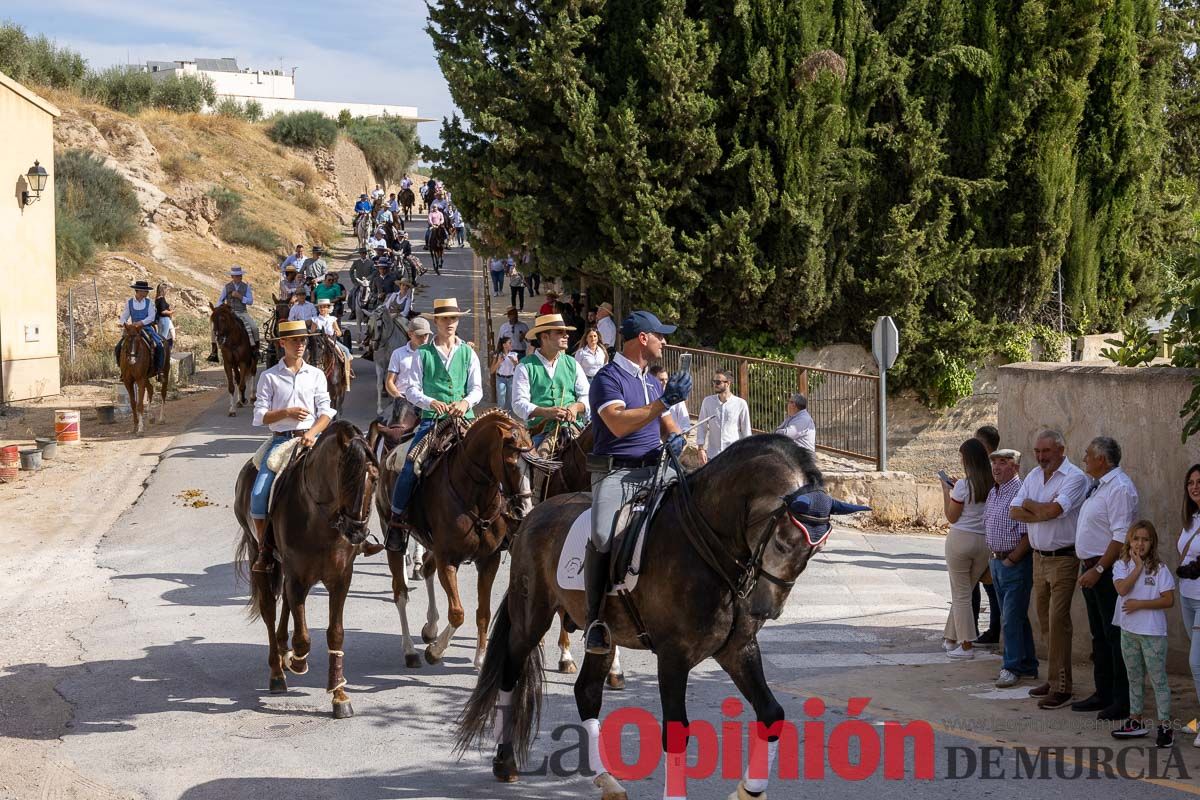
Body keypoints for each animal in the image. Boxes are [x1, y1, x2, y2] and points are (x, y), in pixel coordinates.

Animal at [235, 419, 379, 719]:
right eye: (345, 478)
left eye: (374, 478)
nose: (357, 532)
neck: (321, 519)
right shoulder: (298, 578)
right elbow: (302, 638)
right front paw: (296, 661)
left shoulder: (340, 579)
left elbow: (335, 633)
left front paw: (339, 695)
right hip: (261, 560)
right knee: (269, 609)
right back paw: (277, 672)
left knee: (286, 606)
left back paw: (282, 650)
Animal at [369, 412, 530, 671]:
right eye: (512, 463)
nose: (524, 508)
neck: (474, 496)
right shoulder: (448, 559)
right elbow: (457, 613)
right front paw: (435, 653)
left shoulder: (489, 560)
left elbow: (483, 611)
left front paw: (480, 658)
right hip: (394, 536)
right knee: (400, 593)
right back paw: (410, 651)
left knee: (426, 569)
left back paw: (430, 627)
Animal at [456, 438, 844, 800]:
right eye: (782, 543)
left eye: (816, 550)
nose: (764, 609)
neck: (705, 546)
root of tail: (533, 515)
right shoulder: (673, 656)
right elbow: (676, 730)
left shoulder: (737, 649)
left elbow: (772, 713)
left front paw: (749, 789)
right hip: (531, 617)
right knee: (510, 671)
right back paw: (505, 760)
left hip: (605, 637)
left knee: (586, 691)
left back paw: (607, 780)